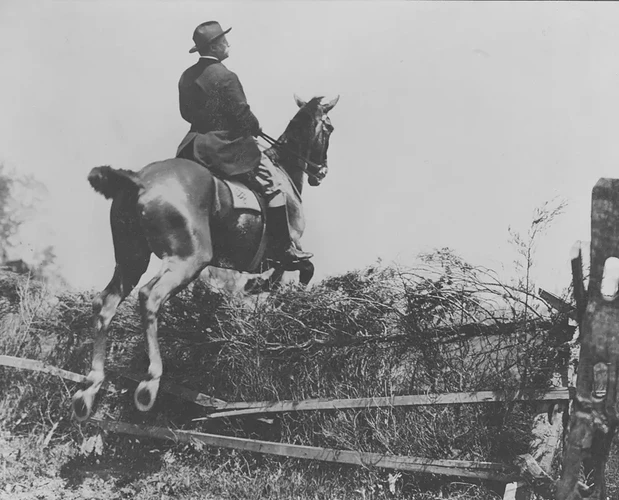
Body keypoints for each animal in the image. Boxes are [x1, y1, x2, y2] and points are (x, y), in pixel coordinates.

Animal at [75, 94, 342, 422]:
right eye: (329, 127)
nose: (321, 172)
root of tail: (139, 179)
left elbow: (281, 276)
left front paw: (260, 288)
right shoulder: (287, 248)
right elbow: (303, 267)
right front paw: (274, 294)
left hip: (131, 259)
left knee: (106, 303)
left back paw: (90, 387)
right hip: (190, 258)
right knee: (150, 296)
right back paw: (150, 382)